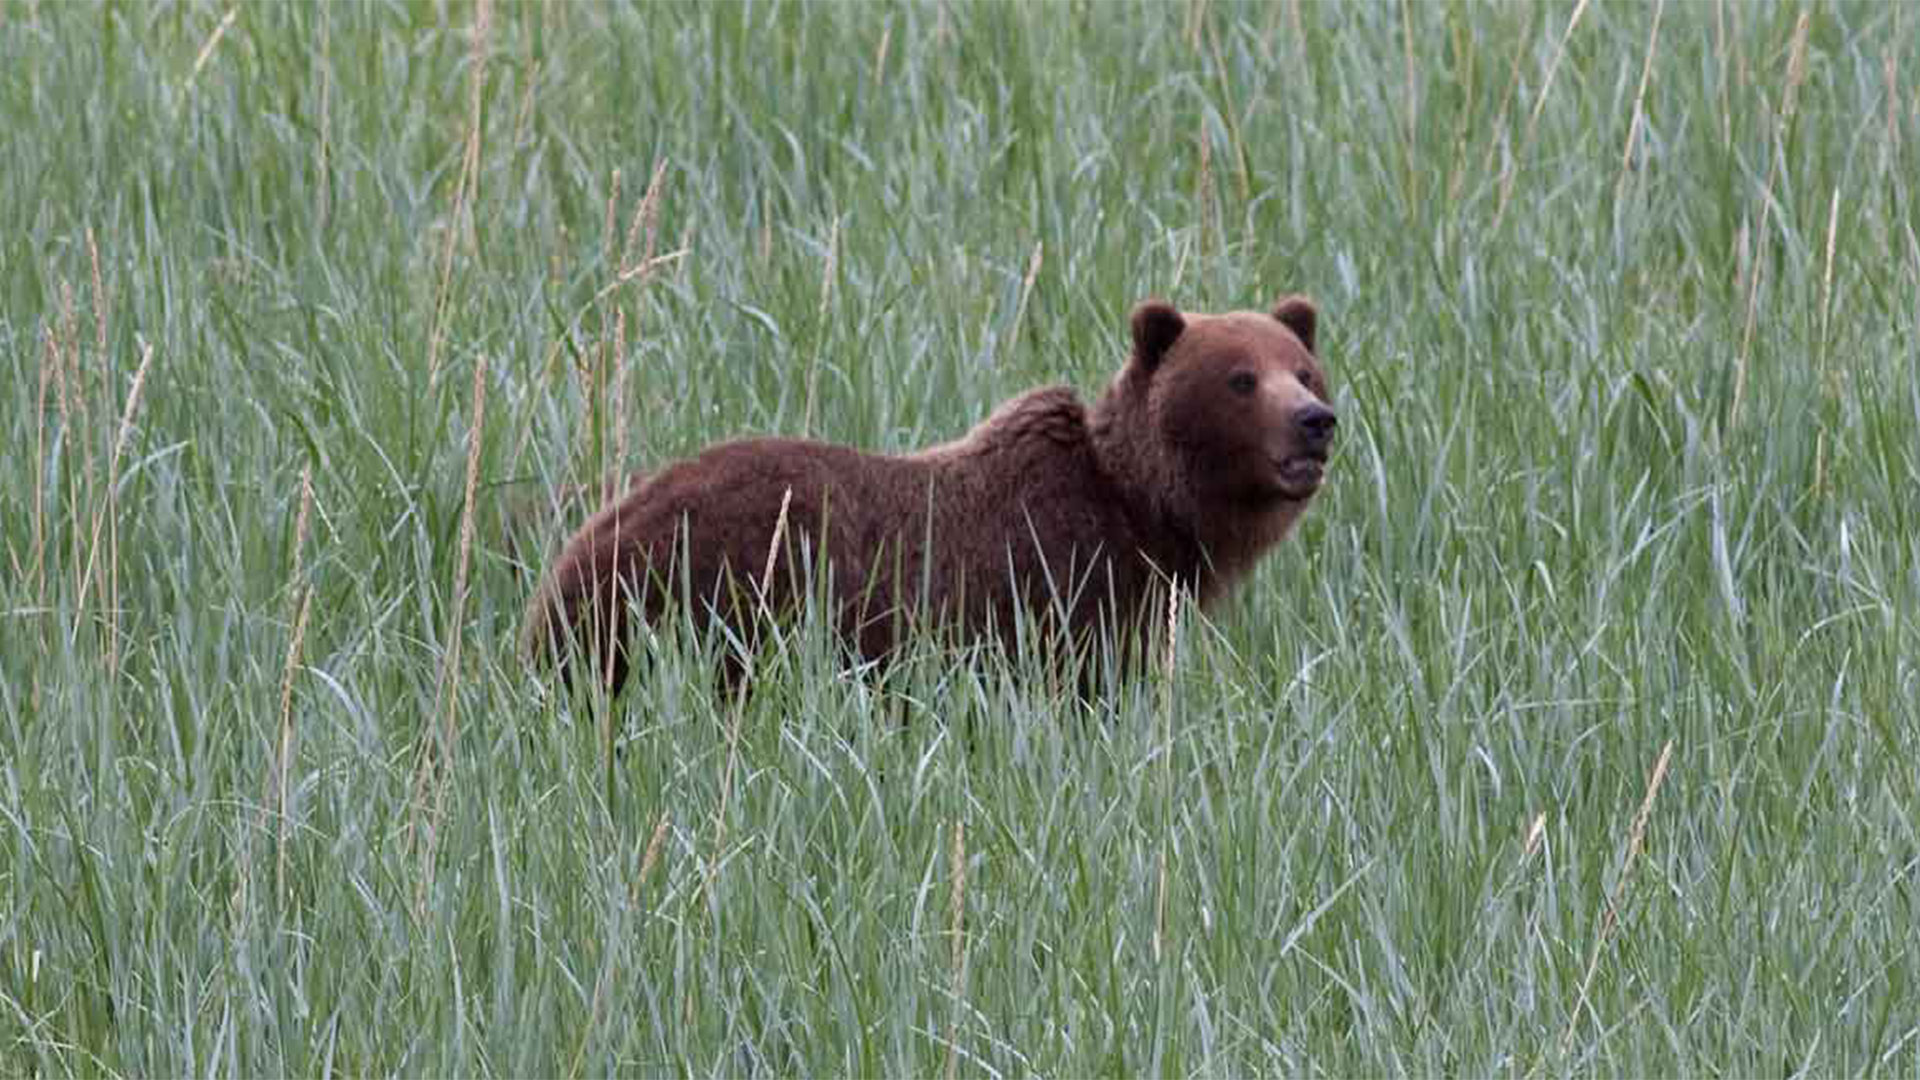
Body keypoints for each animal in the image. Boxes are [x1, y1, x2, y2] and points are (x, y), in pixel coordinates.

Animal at [522, 294, 1337, 695]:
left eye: (1302, 368)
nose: (1315, 421)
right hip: (708, 601)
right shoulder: (1058, 587)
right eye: (1240, 378)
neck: (1142, 509)